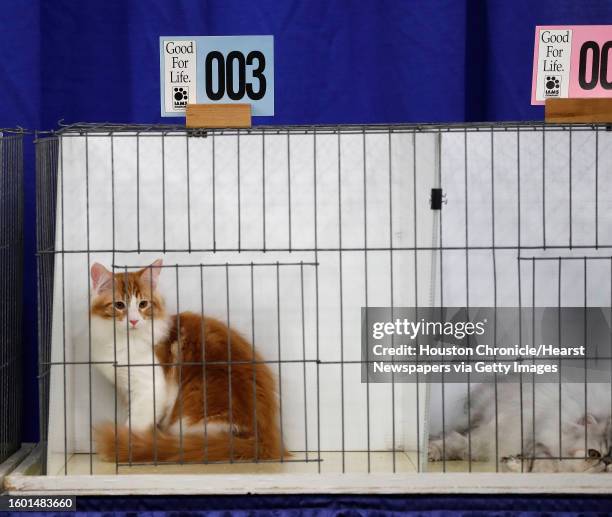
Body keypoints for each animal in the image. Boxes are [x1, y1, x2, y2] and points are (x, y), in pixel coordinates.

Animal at [90, 260, 284, 462]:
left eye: (143, 304)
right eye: (119, 305)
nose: (134, 321)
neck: (122, 342)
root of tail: (265, 439)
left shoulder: (149, 388)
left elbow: (135, 424)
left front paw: (126, 444)